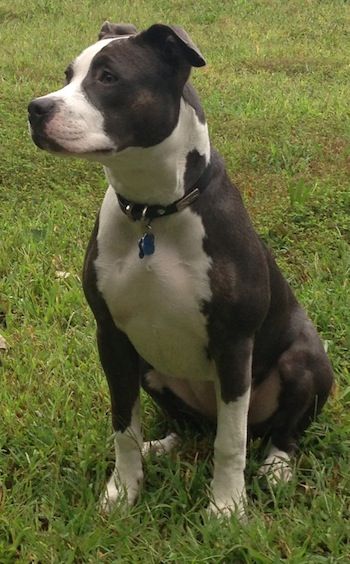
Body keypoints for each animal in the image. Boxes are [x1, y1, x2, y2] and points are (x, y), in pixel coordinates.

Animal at [28, 22, 334, 516]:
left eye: (108, 77)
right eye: (68, 75)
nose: (36, 109)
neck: (153, 211)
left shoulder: (234, 344)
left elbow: (231, 442)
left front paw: (226, 509)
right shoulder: (111, 338)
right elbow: (124, 427)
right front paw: (123, 491)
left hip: (306, 360)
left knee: (278, 430)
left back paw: (276, 467)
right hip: (150, 368)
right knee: (188, 426)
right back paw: (164, 445)